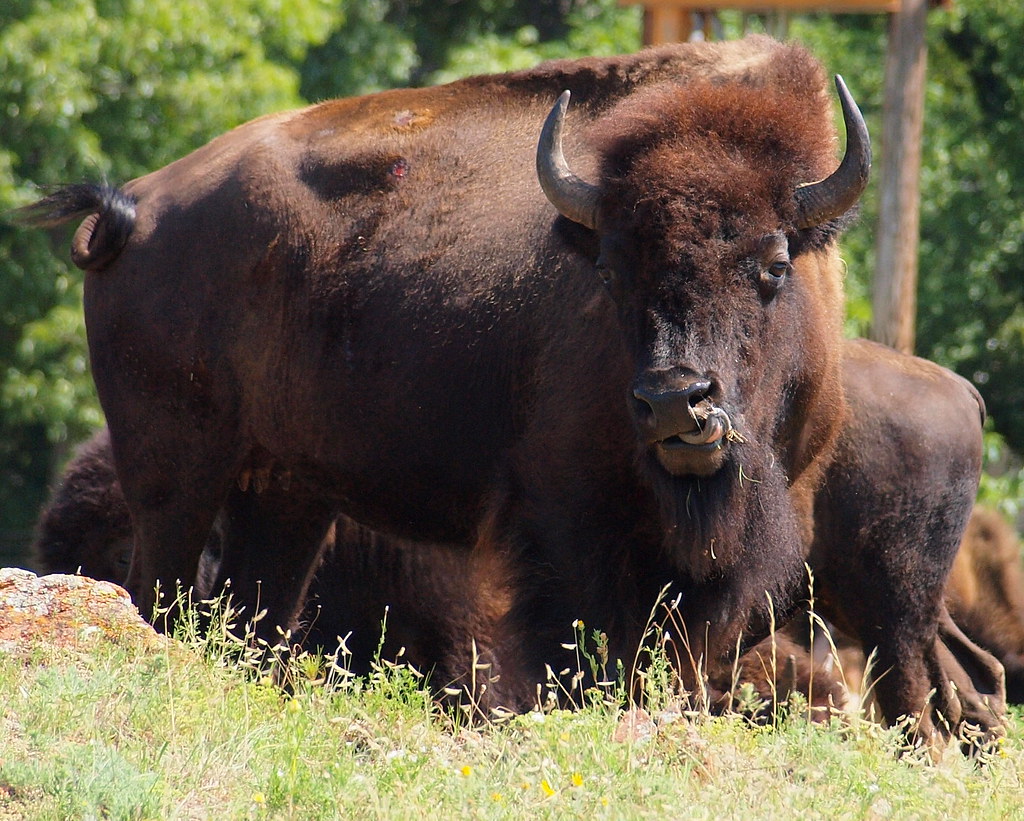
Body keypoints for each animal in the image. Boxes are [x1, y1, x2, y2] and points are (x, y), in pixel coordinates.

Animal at [19, 36, 1002, 744]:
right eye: (612, 268)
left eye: (770, 266)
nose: (676, 403)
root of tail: (137, 209)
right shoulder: (565, 527)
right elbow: (585, 651)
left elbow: (678, 653)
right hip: (176, 472)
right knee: (162, 592)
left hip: (285, 495)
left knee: (250, 614)